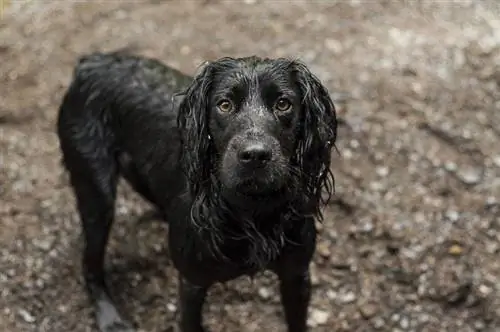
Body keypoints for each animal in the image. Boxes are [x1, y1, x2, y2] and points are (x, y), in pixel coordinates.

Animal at [56, 51, 338, 332]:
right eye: (224, 105)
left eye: (283, 104)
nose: (255, 155)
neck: (252, 210)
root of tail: (91, 62)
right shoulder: (192, 282)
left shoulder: (297, 275)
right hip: (96, 193)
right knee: (90, 266)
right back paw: (110, 318)